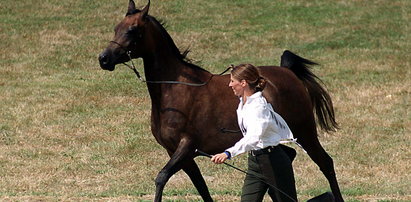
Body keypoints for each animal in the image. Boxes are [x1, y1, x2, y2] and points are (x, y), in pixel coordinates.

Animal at [99, 0, 344, 201]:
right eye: (116, 28)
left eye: (132, 30)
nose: (104, 59)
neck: (175, 89)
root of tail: (289, 73)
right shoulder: (179, 153)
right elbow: (200, 186)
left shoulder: (186, 146)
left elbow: (161, 178)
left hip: (305, 132)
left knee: (325, 163)